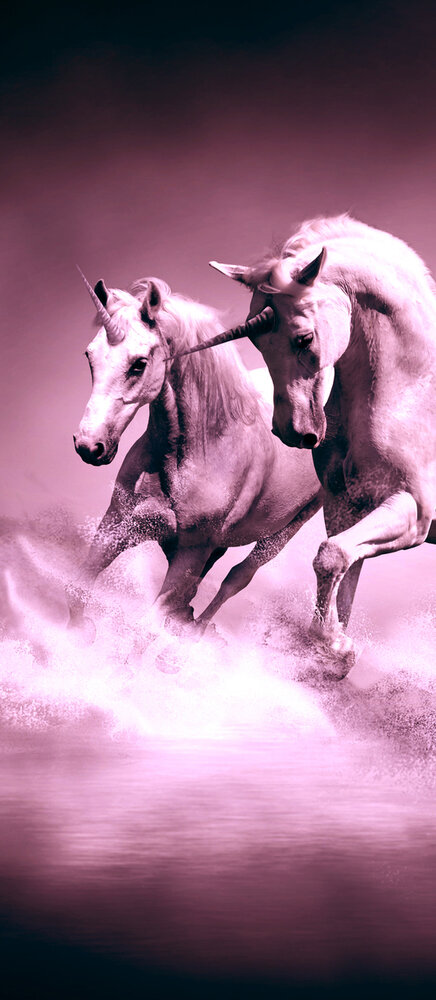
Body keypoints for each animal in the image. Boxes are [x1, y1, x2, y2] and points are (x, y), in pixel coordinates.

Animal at [68, 272, 323, 640]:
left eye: (139, 364)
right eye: (90, 355)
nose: (90, 446)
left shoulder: (190, 552)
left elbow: (148, 627)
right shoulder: (118, 524)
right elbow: (76, 589)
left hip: (287, 529)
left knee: (238, 577)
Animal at [200, 215, 436, 675]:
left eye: (304, 339)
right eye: (256, 342)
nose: (291, 432)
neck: (412, 393)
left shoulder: (413, 512)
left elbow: (331, 558)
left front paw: (335, 648)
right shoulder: (348, 509)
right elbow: (338, 569)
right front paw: (333, 651)